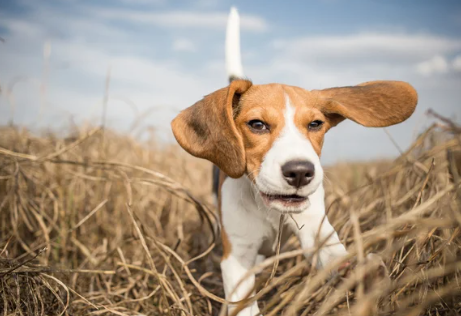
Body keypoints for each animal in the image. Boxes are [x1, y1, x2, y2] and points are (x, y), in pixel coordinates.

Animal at [171, 7, 416, 316]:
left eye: (315, 124)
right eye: (257, 124)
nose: (300, 172)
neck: (269, 210)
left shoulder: (315, 228)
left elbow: (333, 255)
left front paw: (363, 273)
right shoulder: (237, 256)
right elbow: (244, 303)